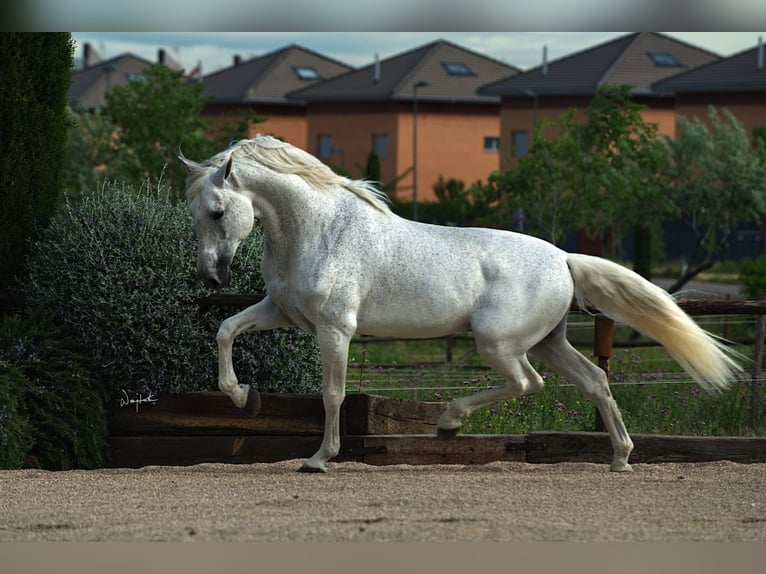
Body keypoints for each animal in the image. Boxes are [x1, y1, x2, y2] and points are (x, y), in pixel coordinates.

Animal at [180, 134, 744, 472]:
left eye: (216, 212)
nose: (210, 275)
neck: (320, 231)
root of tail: (564, 257)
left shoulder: (335, 329)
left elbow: (332, 394)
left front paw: (320, 458)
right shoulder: (280, 313)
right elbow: (226, 331)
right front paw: (243, 397)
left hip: (498, 342)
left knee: (528, 384)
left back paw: (450, 421)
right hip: (549, 341)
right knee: (594, 381)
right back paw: (621, 458)